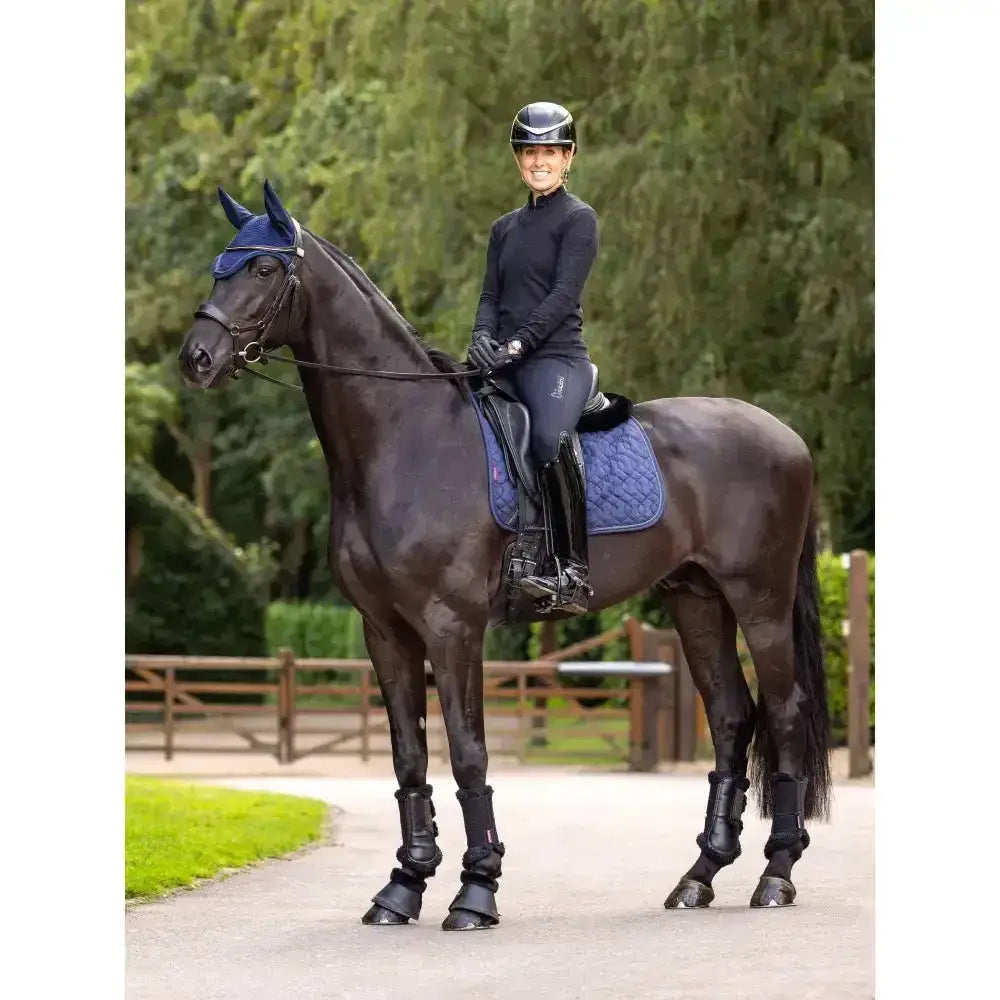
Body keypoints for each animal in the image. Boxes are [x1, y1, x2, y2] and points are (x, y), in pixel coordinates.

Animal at [178, 180, 831, 930]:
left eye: (262, 268)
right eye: (218, 265)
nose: (195, 357)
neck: (406, 441)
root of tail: (787, 436)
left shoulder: (452, 626)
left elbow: (467, 755)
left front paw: (476, 888)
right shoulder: (385, 632)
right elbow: (409, 758)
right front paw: (403, 885)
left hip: (760, 599)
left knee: (784, 714)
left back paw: (777, 873)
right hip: (697, 599)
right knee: (730, 718)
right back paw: (699, 877)